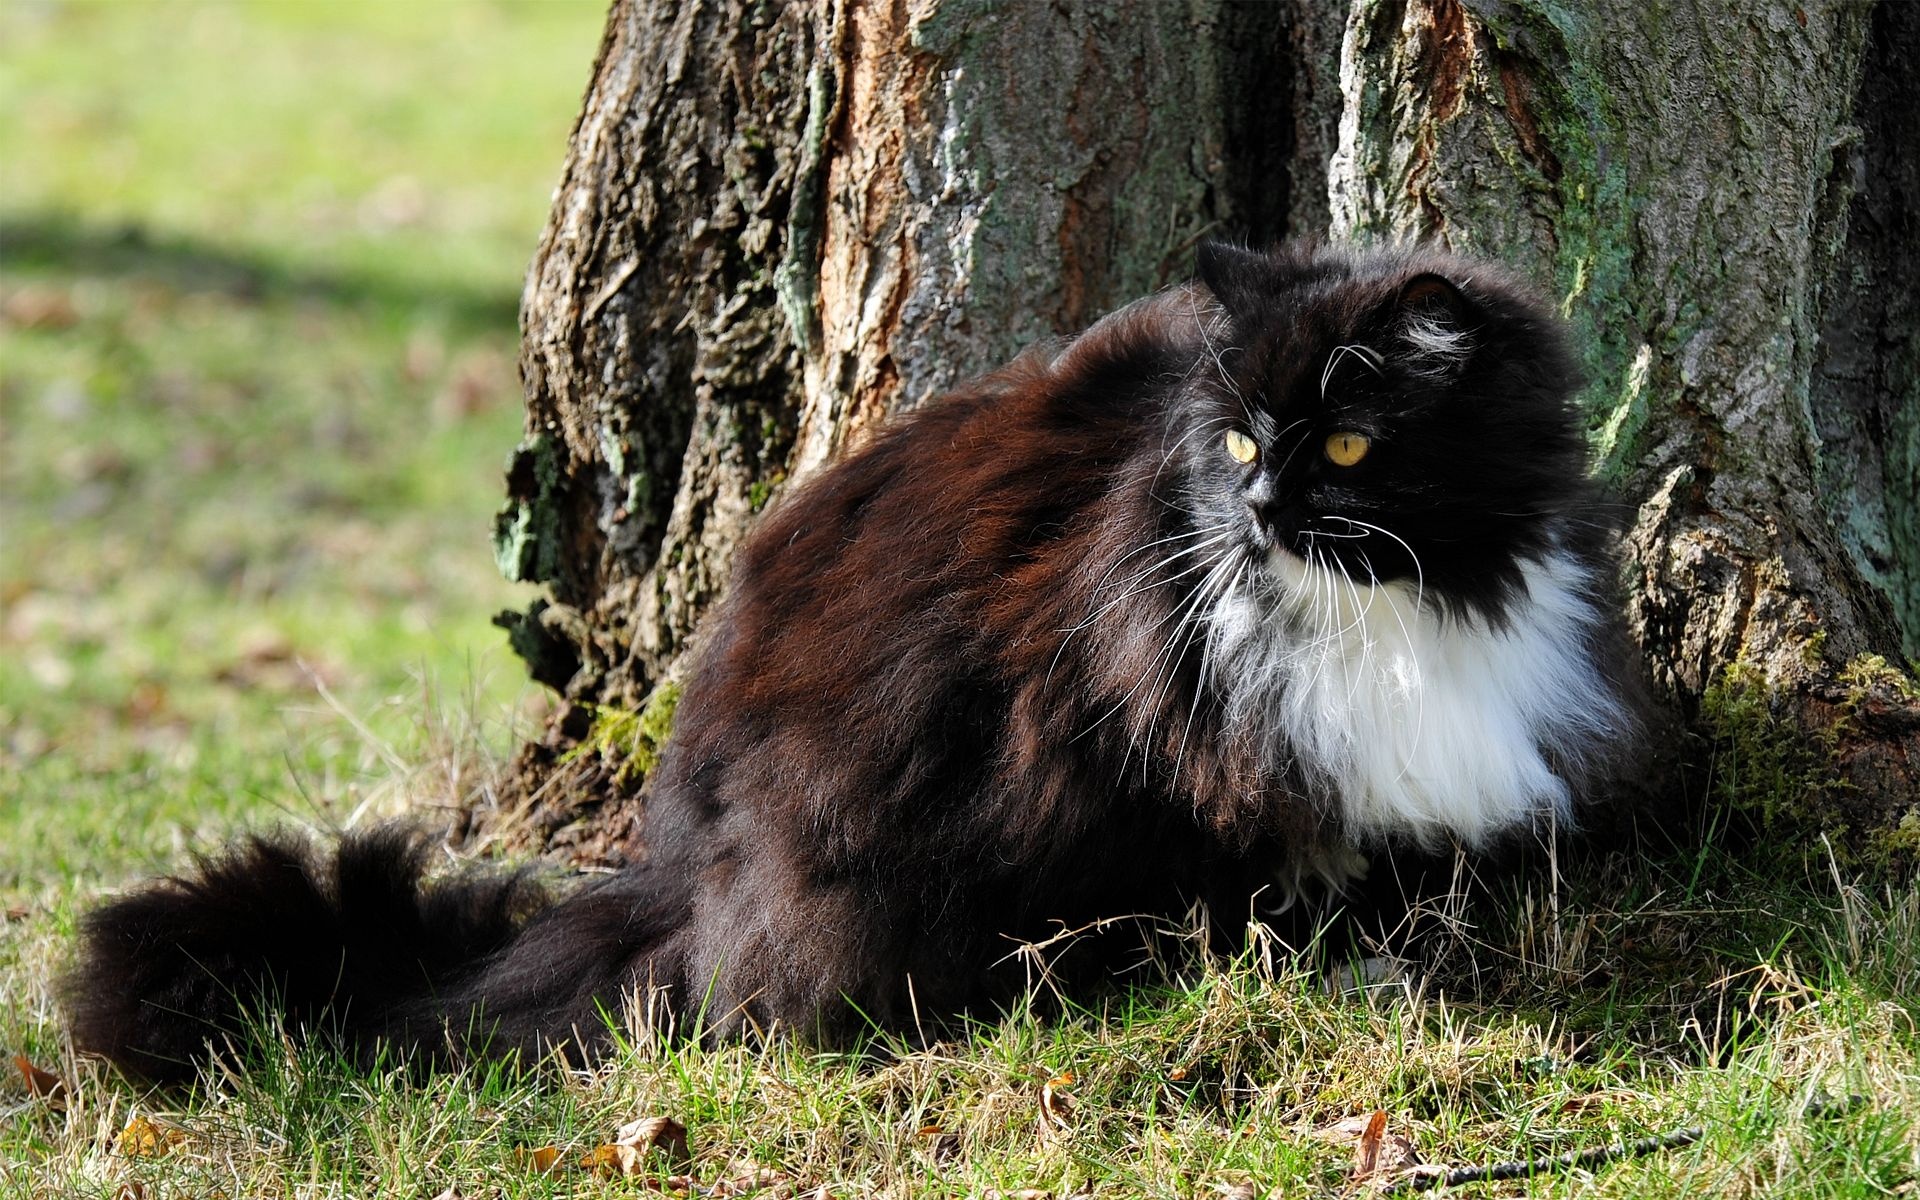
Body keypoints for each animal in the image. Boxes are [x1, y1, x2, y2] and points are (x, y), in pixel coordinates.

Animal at [67, 240, 1643, 1075]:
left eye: (1352, 448)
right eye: (1246, 444)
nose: (1255, 515)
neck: (1400, 613)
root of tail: (669, 870)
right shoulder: (1163, 757)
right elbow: (1248, 883)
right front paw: (1310, 962)